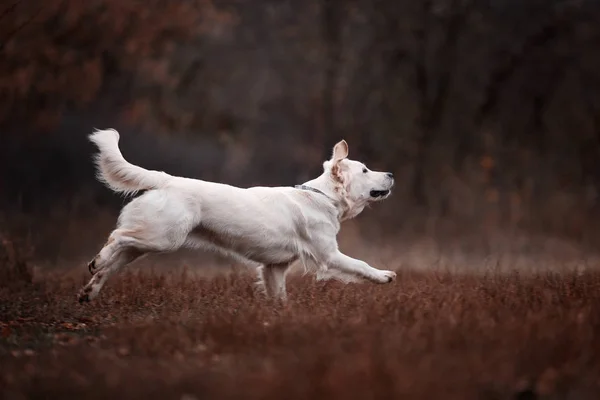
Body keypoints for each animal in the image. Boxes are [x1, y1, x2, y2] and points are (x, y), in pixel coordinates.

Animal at [77, 129, 396, 304]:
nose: (391, 174)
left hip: (147, 242)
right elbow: (360, 265)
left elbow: (279, 297)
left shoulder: (274, 267)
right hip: (163, 238)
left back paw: (90, 290)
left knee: (115, 259)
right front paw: (384, 275)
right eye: (365, 170)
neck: (321, 197)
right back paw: (96, 262)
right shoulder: (328, 255)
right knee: (116, 238)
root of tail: (166, 179)